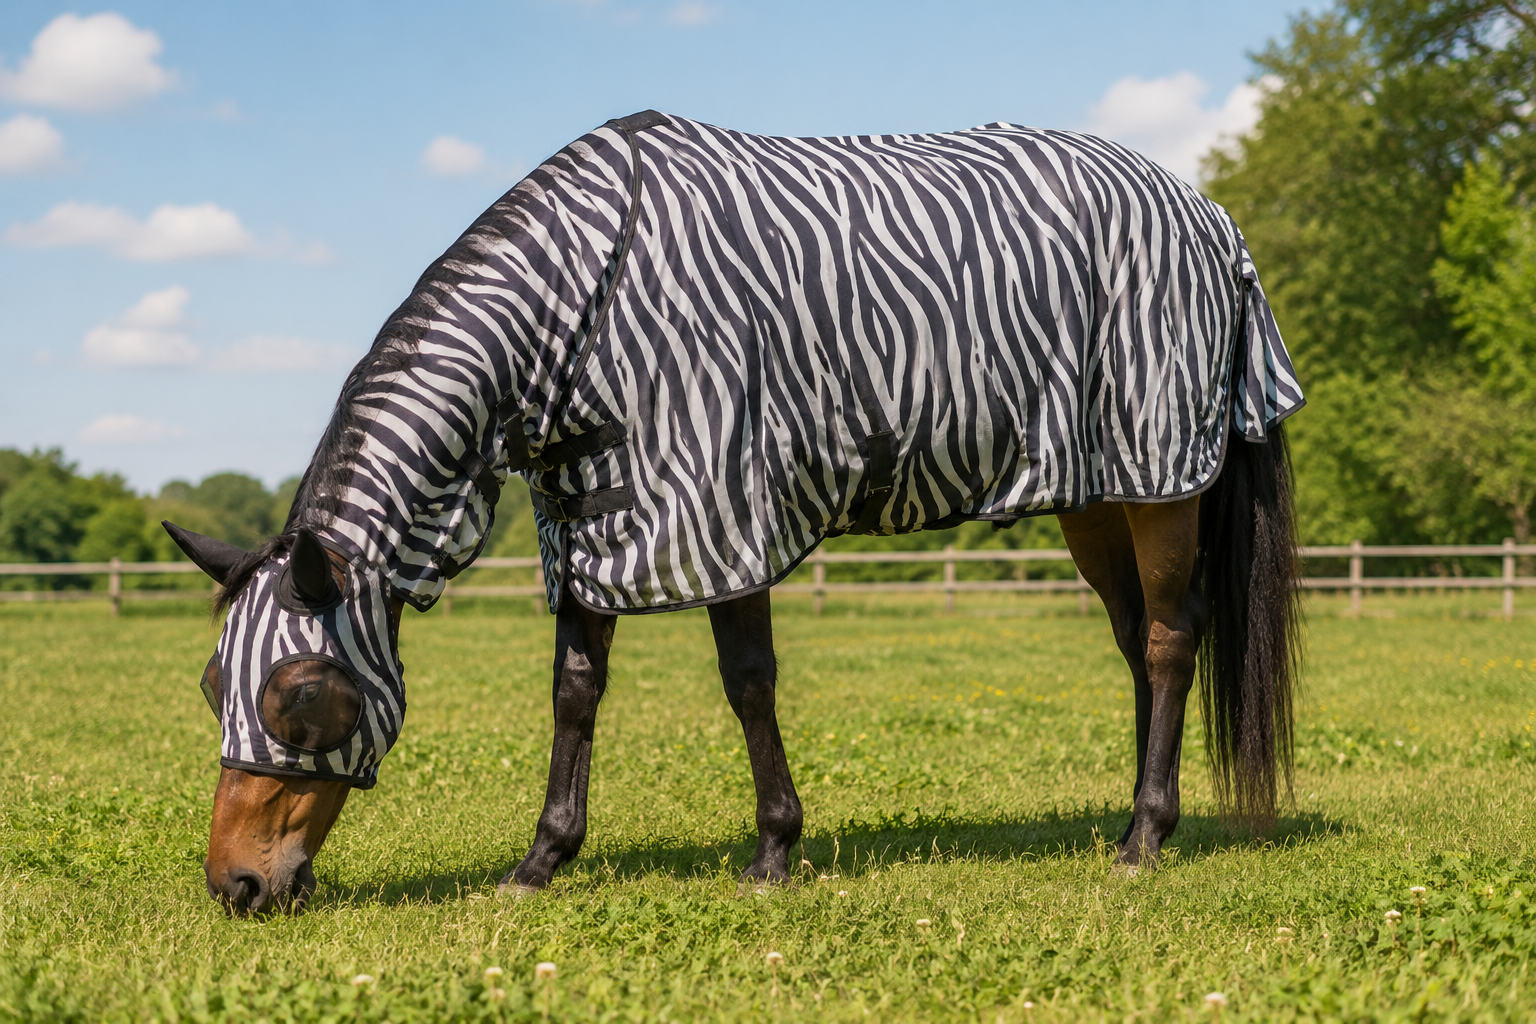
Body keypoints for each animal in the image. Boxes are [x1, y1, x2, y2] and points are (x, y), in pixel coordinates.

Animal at [164, 111, 1303, 915]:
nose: (237, 887)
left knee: (1169, 640)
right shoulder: (589, 518)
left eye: (299, 696)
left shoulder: (723, 506)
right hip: (1101, 496)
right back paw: (1134, 815)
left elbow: (748, 683)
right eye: (213, 684)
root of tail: (1213, 217)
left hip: (1162, 482)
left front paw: (774, 849)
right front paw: (542, 859)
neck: (581, 302)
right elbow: (574, 693)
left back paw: (1145, 837)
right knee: (1137, 642)